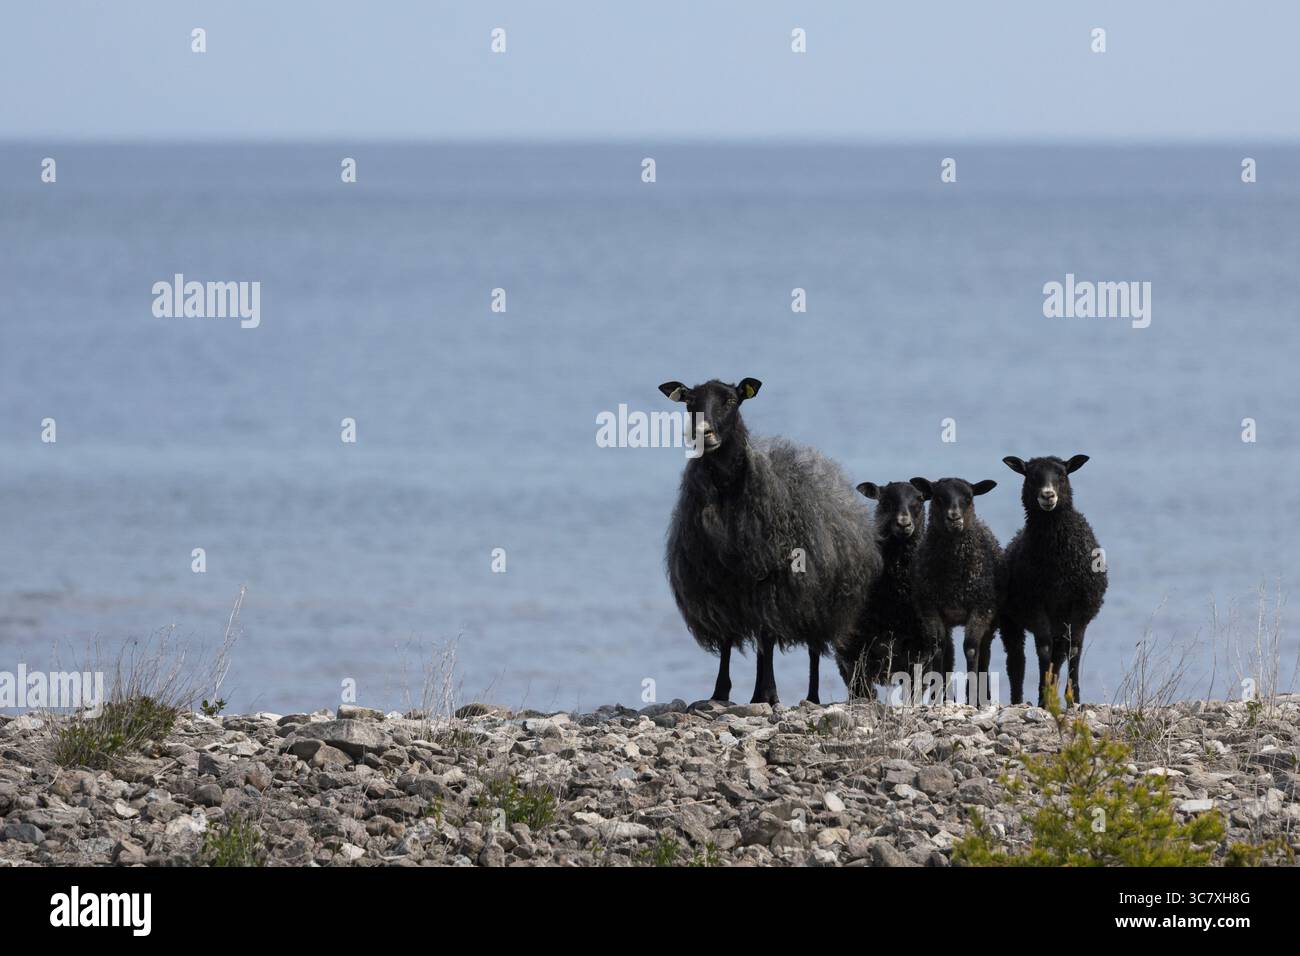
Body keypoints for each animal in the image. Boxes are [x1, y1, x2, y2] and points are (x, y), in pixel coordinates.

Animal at [659, 377, 881, 705]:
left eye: (731, 400)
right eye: (689, 402)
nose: (704, 432)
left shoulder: (774, 582)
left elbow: (767, 639)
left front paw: (769, 693)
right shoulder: (717, 585)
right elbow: (728, 640)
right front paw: (721, 692)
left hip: (819, 601)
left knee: (810, 649)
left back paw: (810, 695)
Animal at [835, 480, 930, 699]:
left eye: (919, 500)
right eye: (885, 500)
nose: (904, 524)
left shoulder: (920, 651)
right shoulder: (853, 650)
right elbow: (861, 688)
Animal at [909, 477, 1004, 705]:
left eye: (969, 498)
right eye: (938, 497)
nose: (954, 518)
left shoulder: (981, 608)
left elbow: (971, 648)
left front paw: (973, 698)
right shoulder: (930, 608)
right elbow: (939, 648)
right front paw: (937, 700)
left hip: (991, 619)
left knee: (984, 653)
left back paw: (982, 696)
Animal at [1000, 454, 1107, 706]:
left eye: (1062, 474)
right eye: (1031, 475)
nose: (1048, 495)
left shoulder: (1081, 606)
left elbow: (1074, 649)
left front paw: (1074, 699)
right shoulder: (1035, 603)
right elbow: (1043, 648)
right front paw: (1042, 697)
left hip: (1061, 623)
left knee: (1058, 657)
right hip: (1010, 621)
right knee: (1016, 661)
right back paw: (1020, 700)